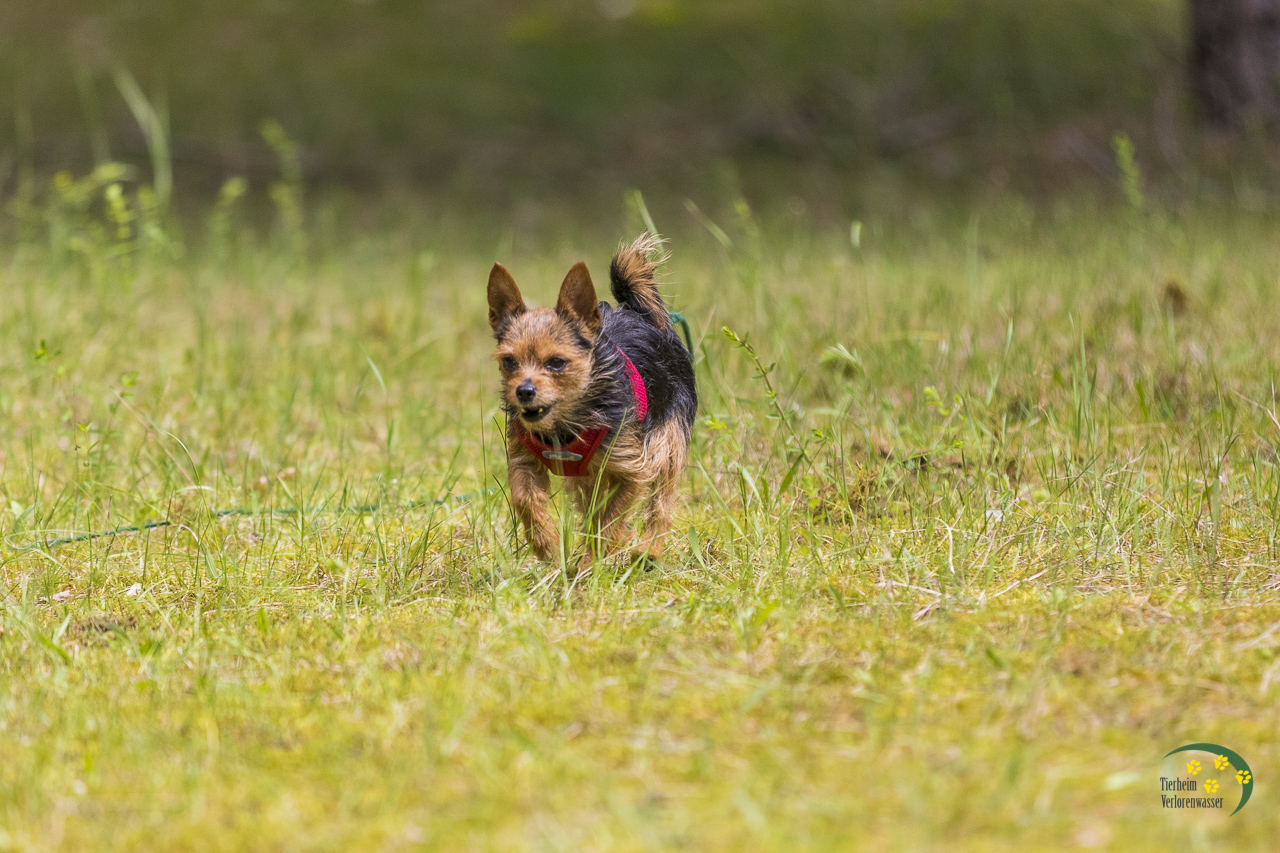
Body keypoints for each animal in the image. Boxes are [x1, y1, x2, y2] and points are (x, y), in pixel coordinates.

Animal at [486, 235, 696, 565]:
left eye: (557, 363)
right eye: (509, 361)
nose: (524, 391)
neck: (566, 422)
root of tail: (639, 314)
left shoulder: (633, 468)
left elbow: (610, 517)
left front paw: (591, 562)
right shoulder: (524, 459)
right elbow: (525, 499)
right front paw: (546, 544)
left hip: (667, 440)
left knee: (661, 501)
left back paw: (648, 550)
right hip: (587, 476)